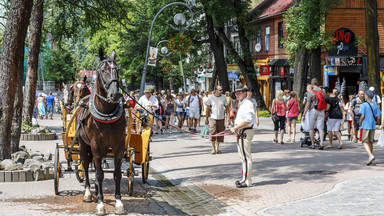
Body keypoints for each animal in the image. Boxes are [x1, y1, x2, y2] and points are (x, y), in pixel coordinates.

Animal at [76, 49, 126, 214]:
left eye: (117, 70)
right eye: (103, 70)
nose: (115, 94)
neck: (107, 112)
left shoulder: (119, 146)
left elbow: (117, 174)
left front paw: (118, 202)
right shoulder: (95, 145)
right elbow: (98, 174)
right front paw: (100, 204)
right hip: (83, 144)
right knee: (86, 165)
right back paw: (88, 192)